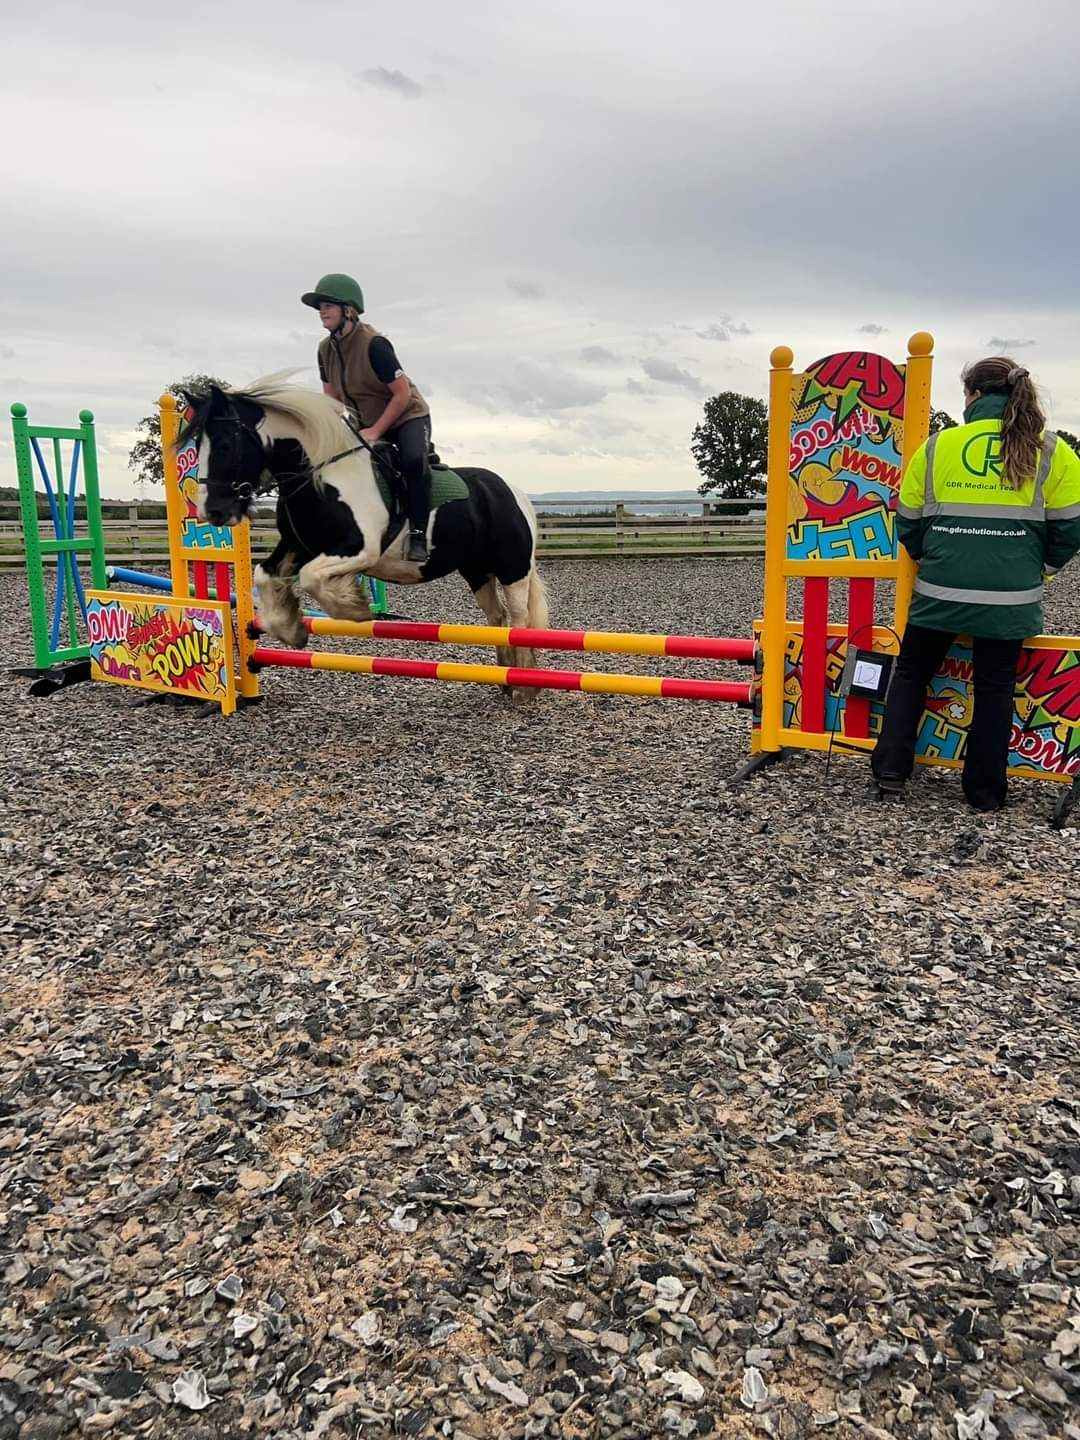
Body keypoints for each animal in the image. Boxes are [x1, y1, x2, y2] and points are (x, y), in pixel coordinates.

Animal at [182, 383, 550, 673]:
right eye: (197, 446)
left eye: (225, 445)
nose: (212, 511)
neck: (319, 477)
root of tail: (513, 491)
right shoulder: (298, 544)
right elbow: (264, 575)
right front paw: (289, 628)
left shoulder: (359, 549)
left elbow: (312, 577)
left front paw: (352, 607)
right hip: (476, 570)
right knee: (497, 616)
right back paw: (504, 676)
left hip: (512, 569)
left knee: (518, 618)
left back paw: (522, 682)